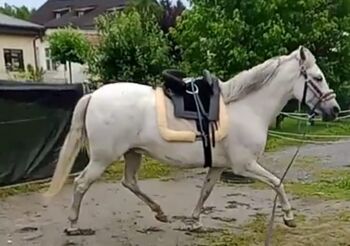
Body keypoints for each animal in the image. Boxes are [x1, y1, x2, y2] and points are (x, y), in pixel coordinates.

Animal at [45, 46, 340, 231]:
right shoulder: (245, 166)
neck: (246, 107)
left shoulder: (219, 167)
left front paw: (195, 221)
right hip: (102, 158)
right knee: (81, 184)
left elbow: (205, 192)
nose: (335, 109)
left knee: (129, 182)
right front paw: (289, 217)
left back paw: (160, 212)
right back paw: (73, 224)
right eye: (317, 78)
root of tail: (94, 95)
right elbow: (278, 182)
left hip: (133, 153)